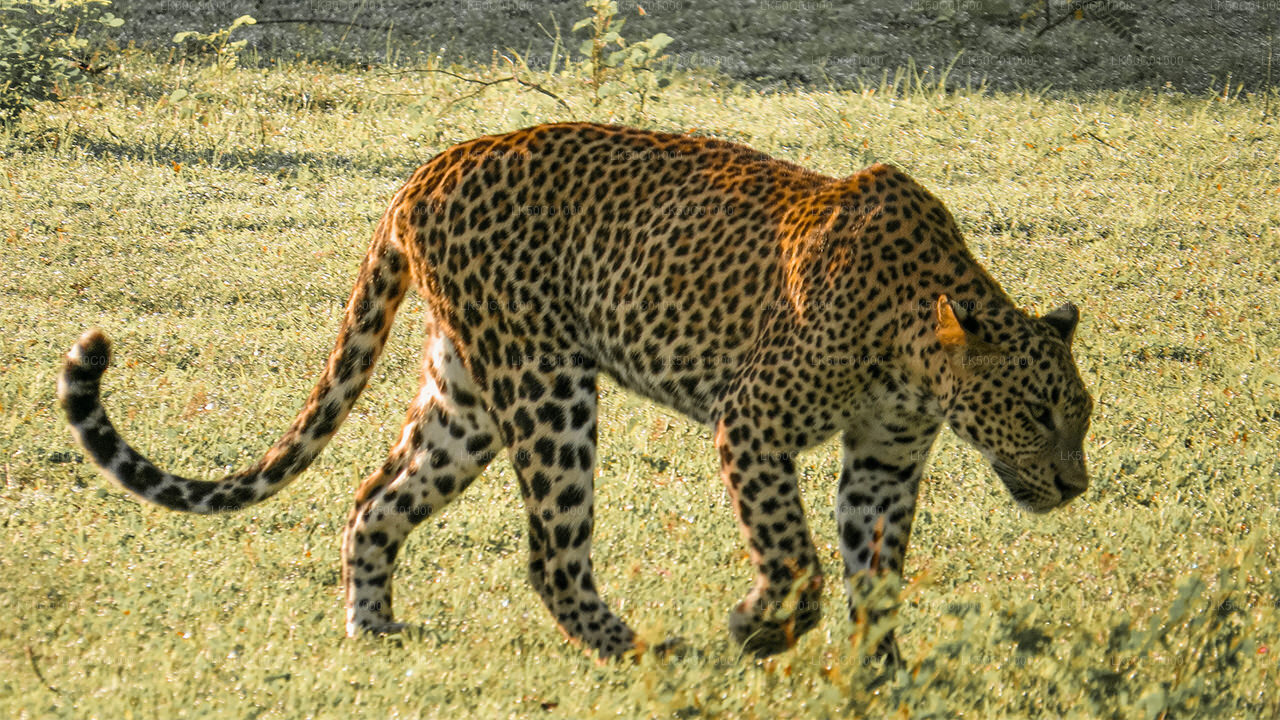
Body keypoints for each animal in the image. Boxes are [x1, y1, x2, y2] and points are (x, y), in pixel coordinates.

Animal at [59, 122, 1093, 662]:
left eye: (1079, 418)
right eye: (1040, 413)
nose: (1076, 486)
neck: (920, 354)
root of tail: (423, 171)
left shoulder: (883, 460)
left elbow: (876, 575)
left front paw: (880, 676)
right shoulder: (752, 421)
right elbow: (794, 554)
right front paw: (759, 629)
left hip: (468, 395)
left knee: (375, 496)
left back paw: (375, 628)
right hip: (547, 389)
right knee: (551, 554)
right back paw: (637, 650)